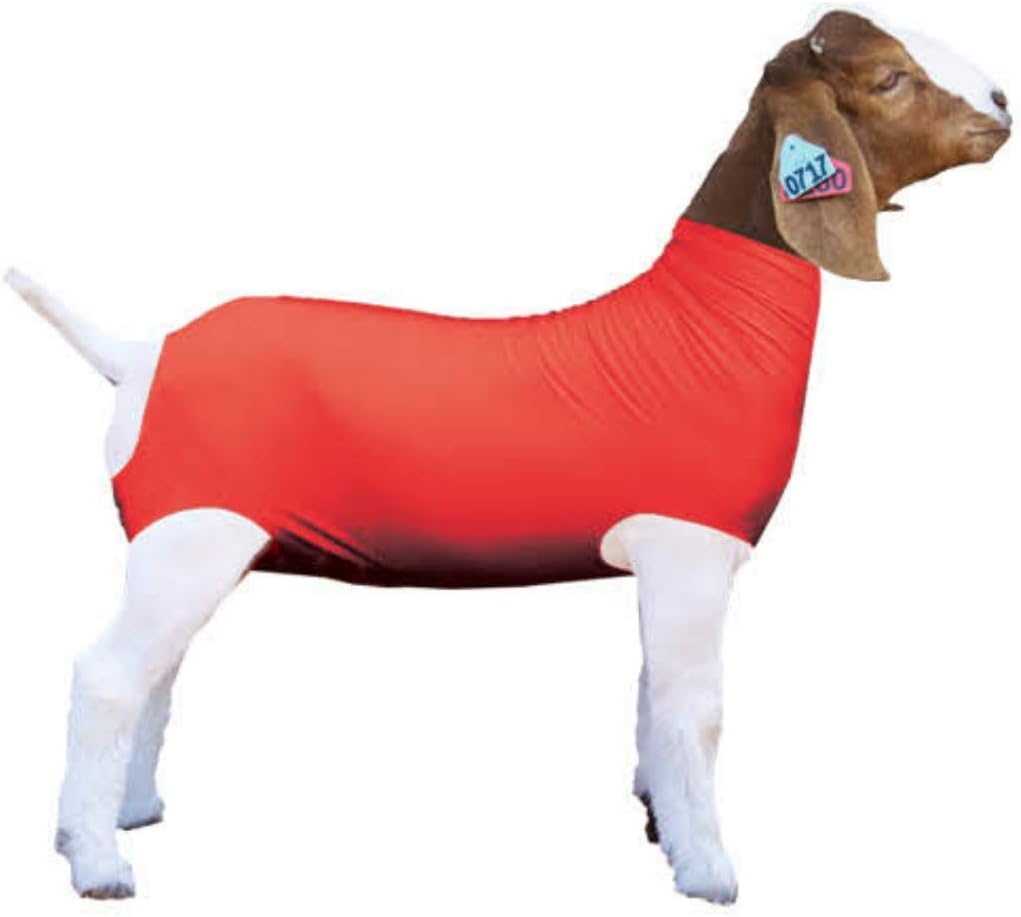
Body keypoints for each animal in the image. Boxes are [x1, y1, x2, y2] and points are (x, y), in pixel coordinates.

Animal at [3, 8, 1011, 904]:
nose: (1003, 101)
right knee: (106, 676)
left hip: (189, 538)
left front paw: (658, 821)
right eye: (888, 77)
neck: (701, 322)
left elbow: (650, 700)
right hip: (191, 533)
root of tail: (137, 356)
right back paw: (96, 861)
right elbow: (695, 712)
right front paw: (708, 870)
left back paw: (129, 811)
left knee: (154, 676)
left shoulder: (658, 563)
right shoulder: (688, 548)